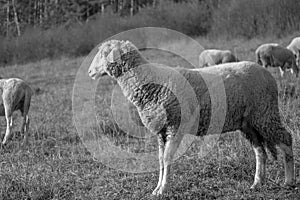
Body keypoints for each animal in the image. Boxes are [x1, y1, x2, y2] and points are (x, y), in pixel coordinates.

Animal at [88, 39, 296, 196]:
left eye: (104, 53)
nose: (89, 72)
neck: (151, 82)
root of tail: (267, 73)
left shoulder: (175, 125)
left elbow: (167, 158)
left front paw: (163, 189)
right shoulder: (161, 130)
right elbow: (160, 159)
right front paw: (157, 188)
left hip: (265, 112)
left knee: (286, 138)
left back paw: (289, 181)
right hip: (249, 122)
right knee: (260, 151)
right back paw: (257, 183)